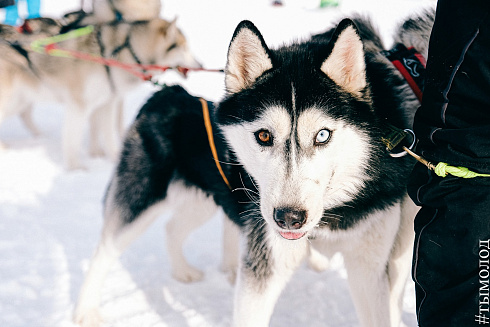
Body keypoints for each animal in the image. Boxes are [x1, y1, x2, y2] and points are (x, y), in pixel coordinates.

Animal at [72, 9, 432, 327]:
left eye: (323, 135)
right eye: (264, 135)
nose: (289, 217)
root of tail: (168, 93)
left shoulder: (369, 267)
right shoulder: (266, 264)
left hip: (203, 201)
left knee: (173, 227)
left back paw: (183, 271)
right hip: (142, 199)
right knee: (105, 249)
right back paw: (85, 311)